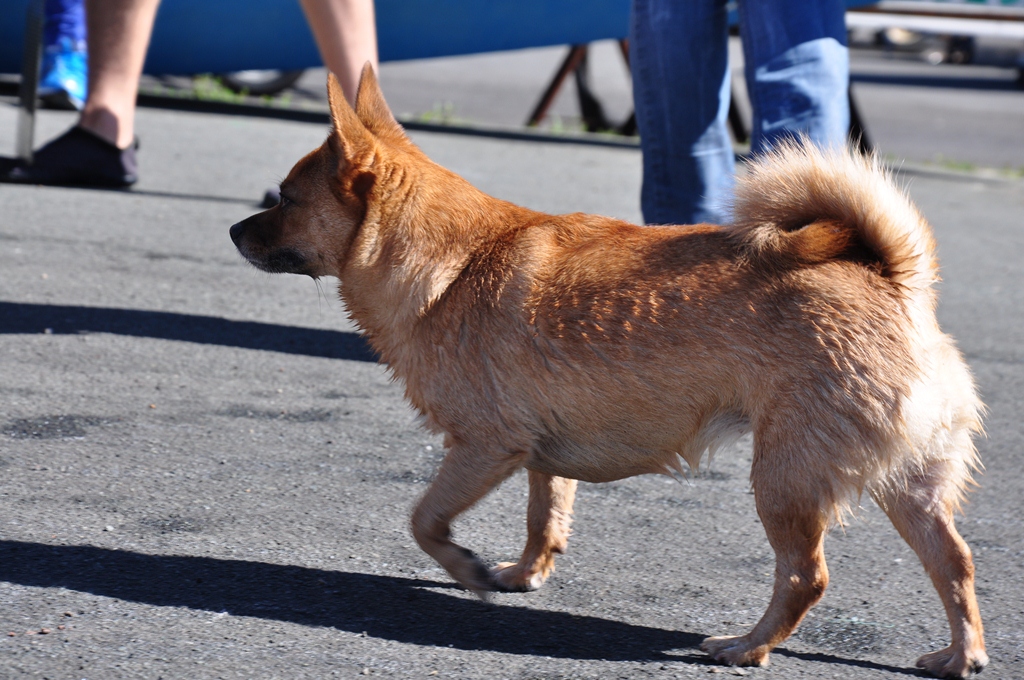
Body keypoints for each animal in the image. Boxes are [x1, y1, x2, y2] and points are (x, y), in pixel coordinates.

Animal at [230, 67, 983, 675]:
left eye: (285, 199)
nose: (235, 230)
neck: (452, 261)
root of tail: (895, 280)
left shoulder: (481, 448)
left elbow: (425, 520)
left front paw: (467, 570)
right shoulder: (537, 456)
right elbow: (545, 517)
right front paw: (523, 574)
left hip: (785, 481)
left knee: (805, 578)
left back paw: (747, 647)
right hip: (907, 488)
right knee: (954, 561)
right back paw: (960, 655)